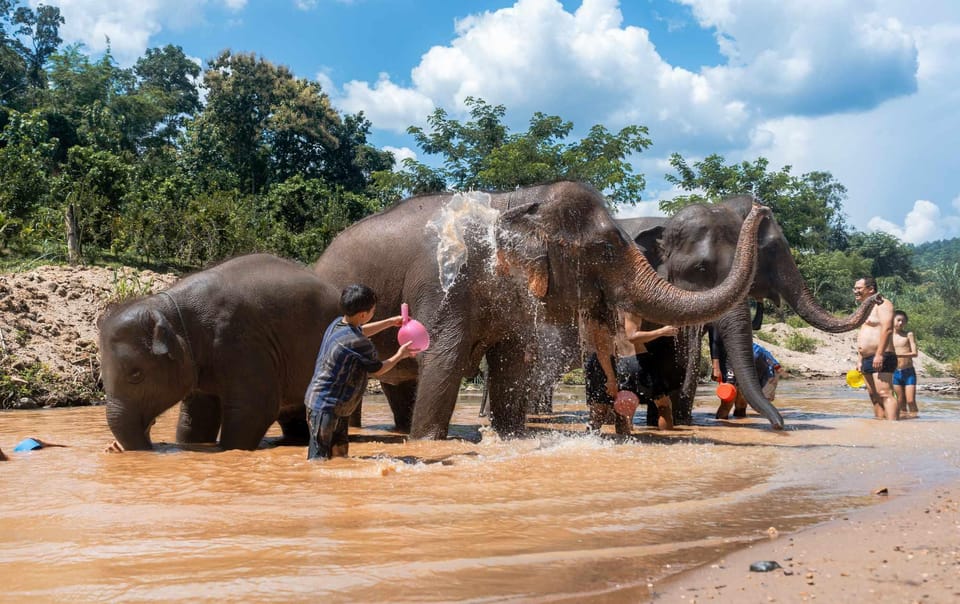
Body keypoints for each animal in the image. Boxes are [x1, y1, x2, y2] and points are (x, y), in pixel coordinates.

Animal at [98, 253, 341, 451]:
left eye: (136, 375)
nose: (115, 447)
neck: (169, 307)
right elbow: (198, 416)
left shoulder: (240, 340)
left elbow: (256, 407)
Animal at [313, 181, 771, 439]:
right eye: (605, 248)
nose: (762, 207)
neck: (513, 203)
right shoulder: (444, 281)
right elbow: (442, 361)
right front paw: (427, 443)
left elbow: (511, 363)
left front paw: (511, 437)